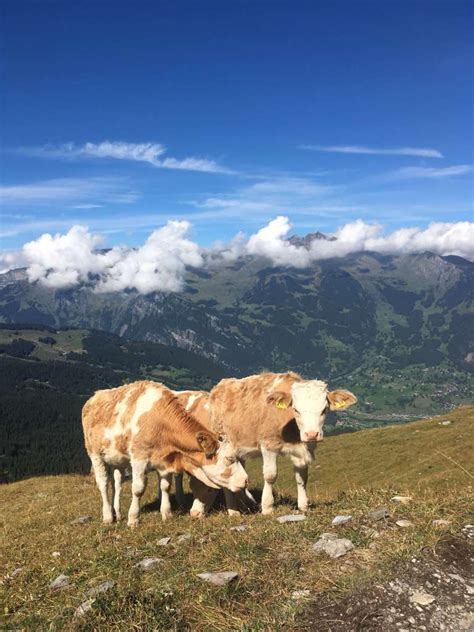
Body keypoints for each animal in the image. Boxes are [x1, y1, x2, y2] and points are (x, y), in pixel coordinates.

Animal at [81, 380, 248, 524]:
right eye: (229, 459)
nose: (246, 480)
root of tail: (94, 396)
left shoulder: (165, 459)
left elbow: (166, 486)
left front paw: (167, 514)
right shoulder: (139, 458)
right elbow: (138, 489)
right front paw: (133, 519)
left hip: (118, 459)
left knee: (117, 482)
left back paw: (118, 512)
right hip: (95, 454)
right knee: (103, 483)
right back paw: (108, 516)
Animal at [189, 372, 356, 516]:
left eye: (324, 410)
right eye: (296, 410)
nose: (311, 434)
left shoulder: (303, 450)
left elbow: (302, 477)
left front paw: (303, 506)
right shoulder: (268, 445)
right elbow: (270, 475)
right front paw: (267, 507)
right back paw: (234, 511)